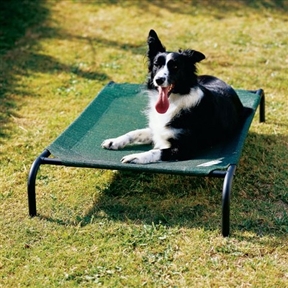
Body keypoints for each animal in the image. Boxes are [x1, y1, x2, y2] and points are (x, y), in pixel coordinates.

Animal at [101, 29, 243, 164]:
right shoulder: (157, 129)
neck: (174, 102)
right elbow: (135, 132)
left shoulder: (185, 148)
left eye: (175, 66)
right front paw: (115, 141)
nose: (158, 80)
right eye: (156, 64)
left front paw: (135, 157)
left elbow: (156, 151)